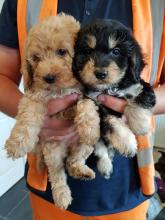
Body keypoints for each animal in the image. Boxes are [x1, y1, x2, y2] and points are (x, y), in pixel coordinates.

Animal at [72, 19, 156, 179]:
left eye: (116, 51)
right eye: (88, 51)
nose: (100, 73)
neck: (109, 88)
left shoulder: (137, 83)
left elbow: (140, 95)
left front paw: (140, 125)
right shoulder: (94, 100)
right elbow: (108, 119)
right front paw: (127, 141)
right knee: (100, 147)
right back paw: (105, 165)